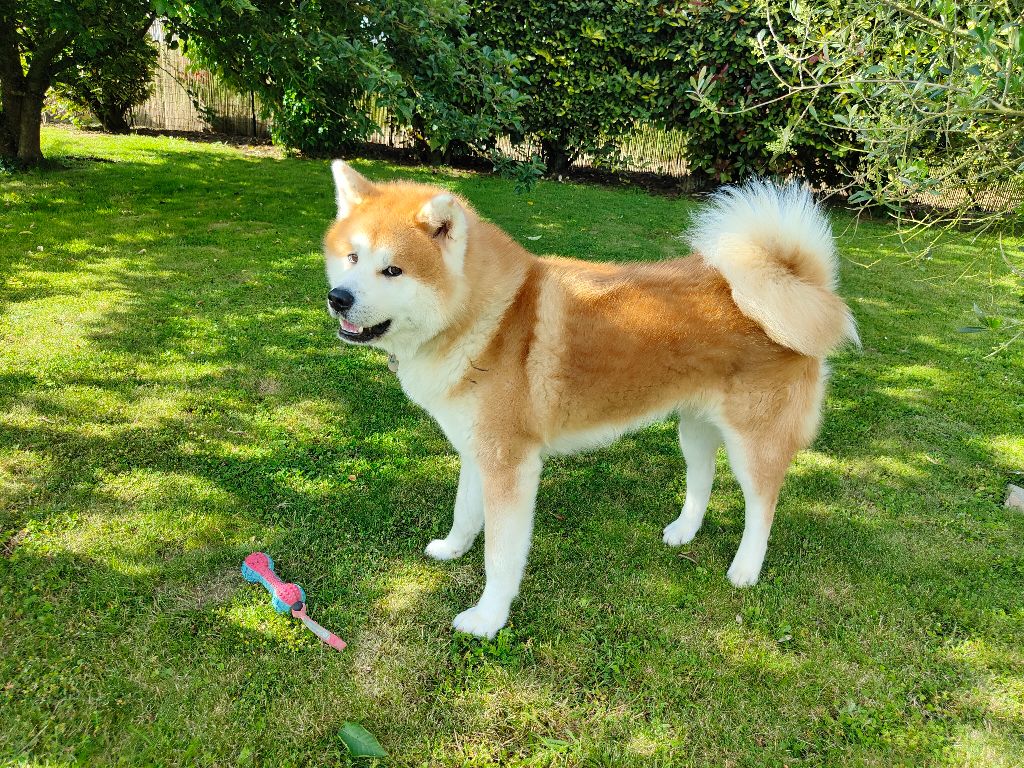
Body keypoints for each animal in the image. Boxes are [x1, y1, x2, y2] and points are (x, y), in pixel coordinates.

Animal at [321, 163, 856, 643]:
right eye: (352, 258)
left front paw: (488, 618)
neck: (487, 319)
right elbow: (464, 513)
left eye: (393, 270)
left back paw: (746, 567)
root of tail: (802, 285)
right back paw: (685, 530)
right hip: (695, 427)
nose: (338, 298)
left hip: (753, 443)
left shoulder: (510, 466)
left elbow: (500, 555)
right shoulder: (480, 452)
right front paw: (454, 548)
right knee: (702, 478)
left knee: (762, 505)